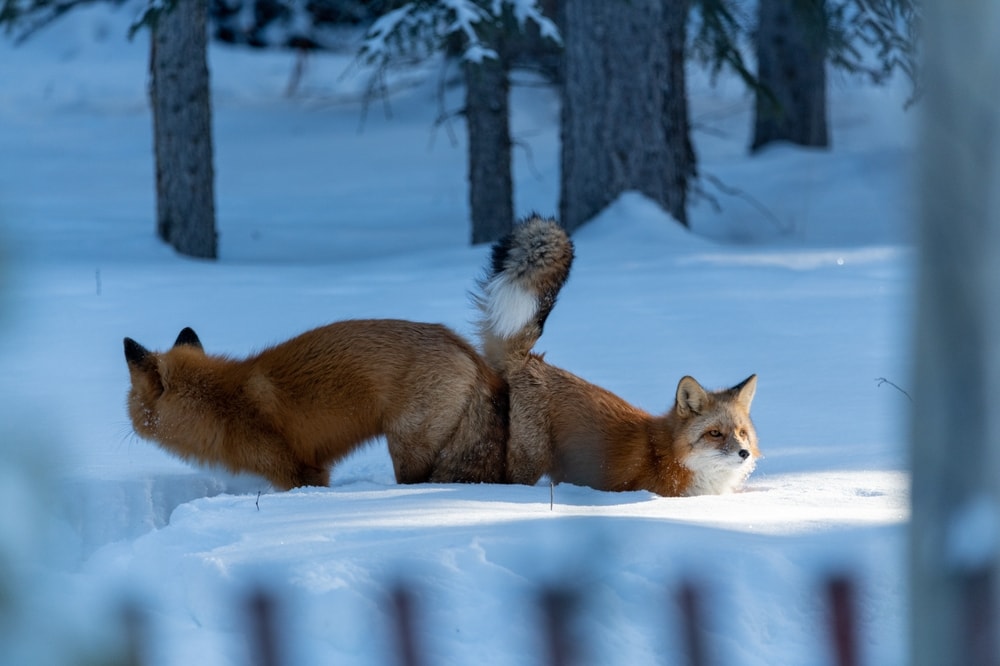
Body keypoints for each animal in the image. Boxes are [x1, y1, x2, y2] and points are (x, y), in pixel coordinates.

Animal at [123, 320, 509, 490]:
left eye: (130, 400)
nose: (129, 428)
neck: (222, 403)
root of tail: (462, 345)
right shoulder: (314, 468)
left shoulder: (294, 472)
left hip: (409, 452)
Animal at [475, 216, 761, 497]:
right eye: (715, 433)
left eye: (742, 433)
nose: (744, 453)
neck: (672, 457)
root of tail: (531, 360)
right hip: (527, 465)